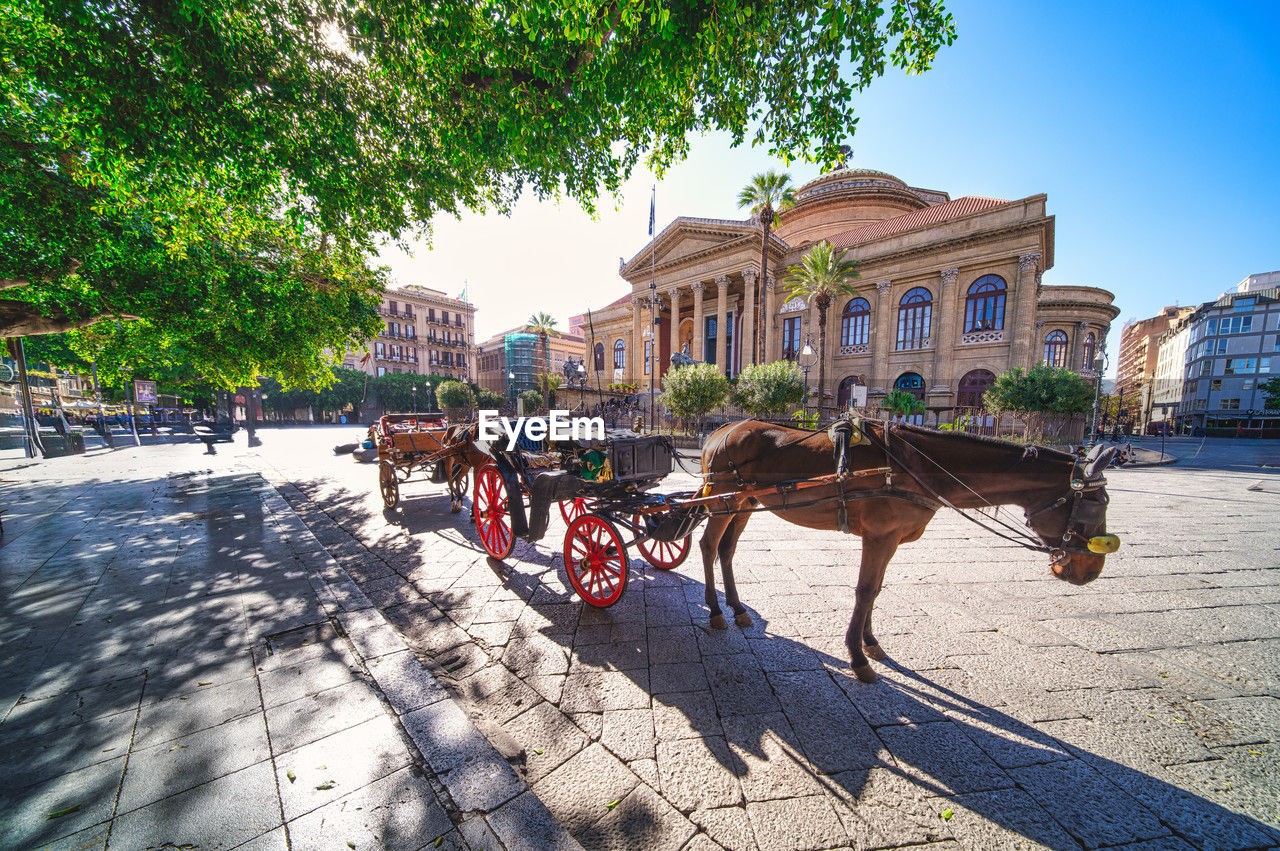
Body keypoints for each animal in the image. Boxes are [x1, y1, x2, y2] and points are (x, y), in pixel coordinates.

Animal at [701, 417, 1121, 685]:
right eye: (1096, 506)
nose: (1090, 571)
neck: (919, 465)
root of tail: (721, 430)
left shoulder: (890, 539)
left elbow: (875, 591)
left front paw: (871, 643)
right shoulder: (880, 535)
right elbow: (864, 591)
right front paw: (857, 656)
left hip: (744, 501)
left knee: (728, 549)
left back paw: (736, 607)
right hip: (724, 498)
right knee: (708, 546)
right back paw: (716, 611)